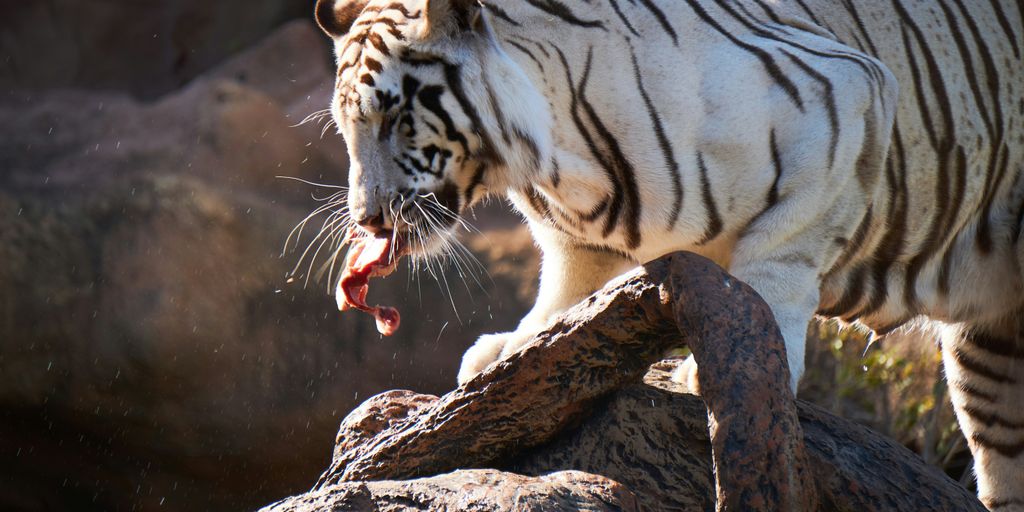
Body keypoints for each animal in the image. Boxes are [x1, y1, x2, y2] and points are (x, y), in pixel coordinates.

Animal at [313, 0, 1024, 505]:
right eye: (347, 126)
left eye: (395, 118)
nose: (366, 218)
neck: (552, 164)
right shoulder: (576, 234)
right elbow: (563, 287)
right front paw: (512, 349)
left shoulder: (847, 97)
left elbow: (776, 261)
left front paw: (736, 362)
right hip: (992, 360)